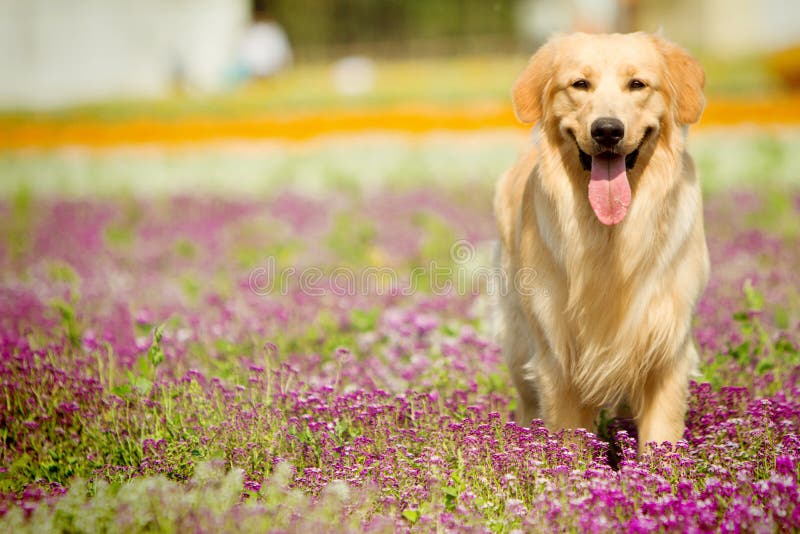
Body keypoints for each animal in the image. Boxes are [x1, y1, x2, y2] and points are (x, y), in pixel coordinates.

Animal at [496, 32, 708, 452]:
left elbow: (660, 441)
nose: (607, 130)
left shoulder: (667, 350)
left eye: (637, 84)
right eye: (580, 84)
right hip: (520, 340)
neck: (611, 236)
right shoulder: (557, 359)